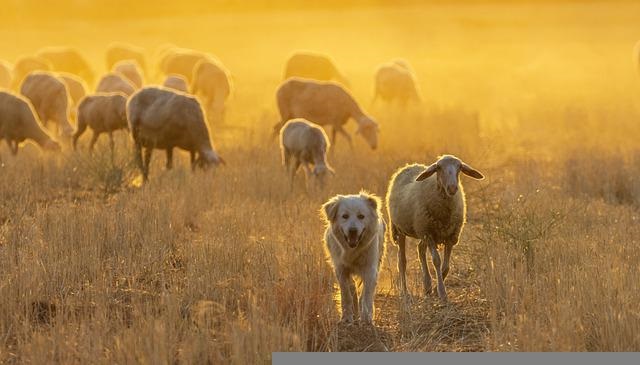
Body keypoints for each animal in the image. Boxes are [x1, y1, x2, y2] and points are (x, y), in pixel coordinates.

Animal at [320, 191, 384, 324]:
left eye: (361, 216)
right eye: (345, 216)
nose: (353, 230)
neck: (353, 250)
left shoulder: (370, 269)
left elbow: (366, 295)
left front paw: (367, 318)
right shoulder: (341, 269)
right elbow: (347, 294)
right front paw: (347, 317)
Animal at [384, 155, 484, 300]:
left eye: (459, 167)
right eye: (439, 167)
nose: (452, 188)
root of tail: (410, 165)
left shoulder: (451, 236)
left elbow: (446, 266)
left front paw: (436, 290)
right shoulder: (429, 234)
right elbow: (436, 261)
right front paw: (442, 292)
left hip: (422, 231)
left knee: (420, 249)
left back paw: (427, 286)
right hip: (401, 229)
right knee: (402, 261)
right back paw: (405, 291)